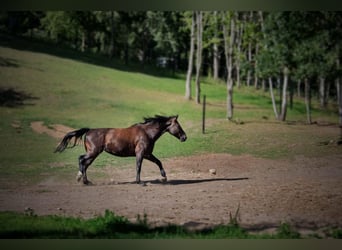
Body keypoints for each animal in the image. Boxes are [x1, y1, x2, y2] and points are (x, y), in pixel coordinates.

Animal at [54, 114, 187, 184]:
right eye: (178, 125)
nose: (184, 137)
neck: (147, 132)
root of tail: (89, 131)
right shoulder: (140, 153)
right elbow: (138, 166)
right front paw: (139, 181)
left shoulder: (147, 154)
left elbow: (158, 162)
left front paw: (164, 177)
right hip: (93, 152)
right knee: (81, 159)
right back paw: (79, 177)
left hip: (94, 154)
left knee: (85, 164)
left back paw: (86, 181)